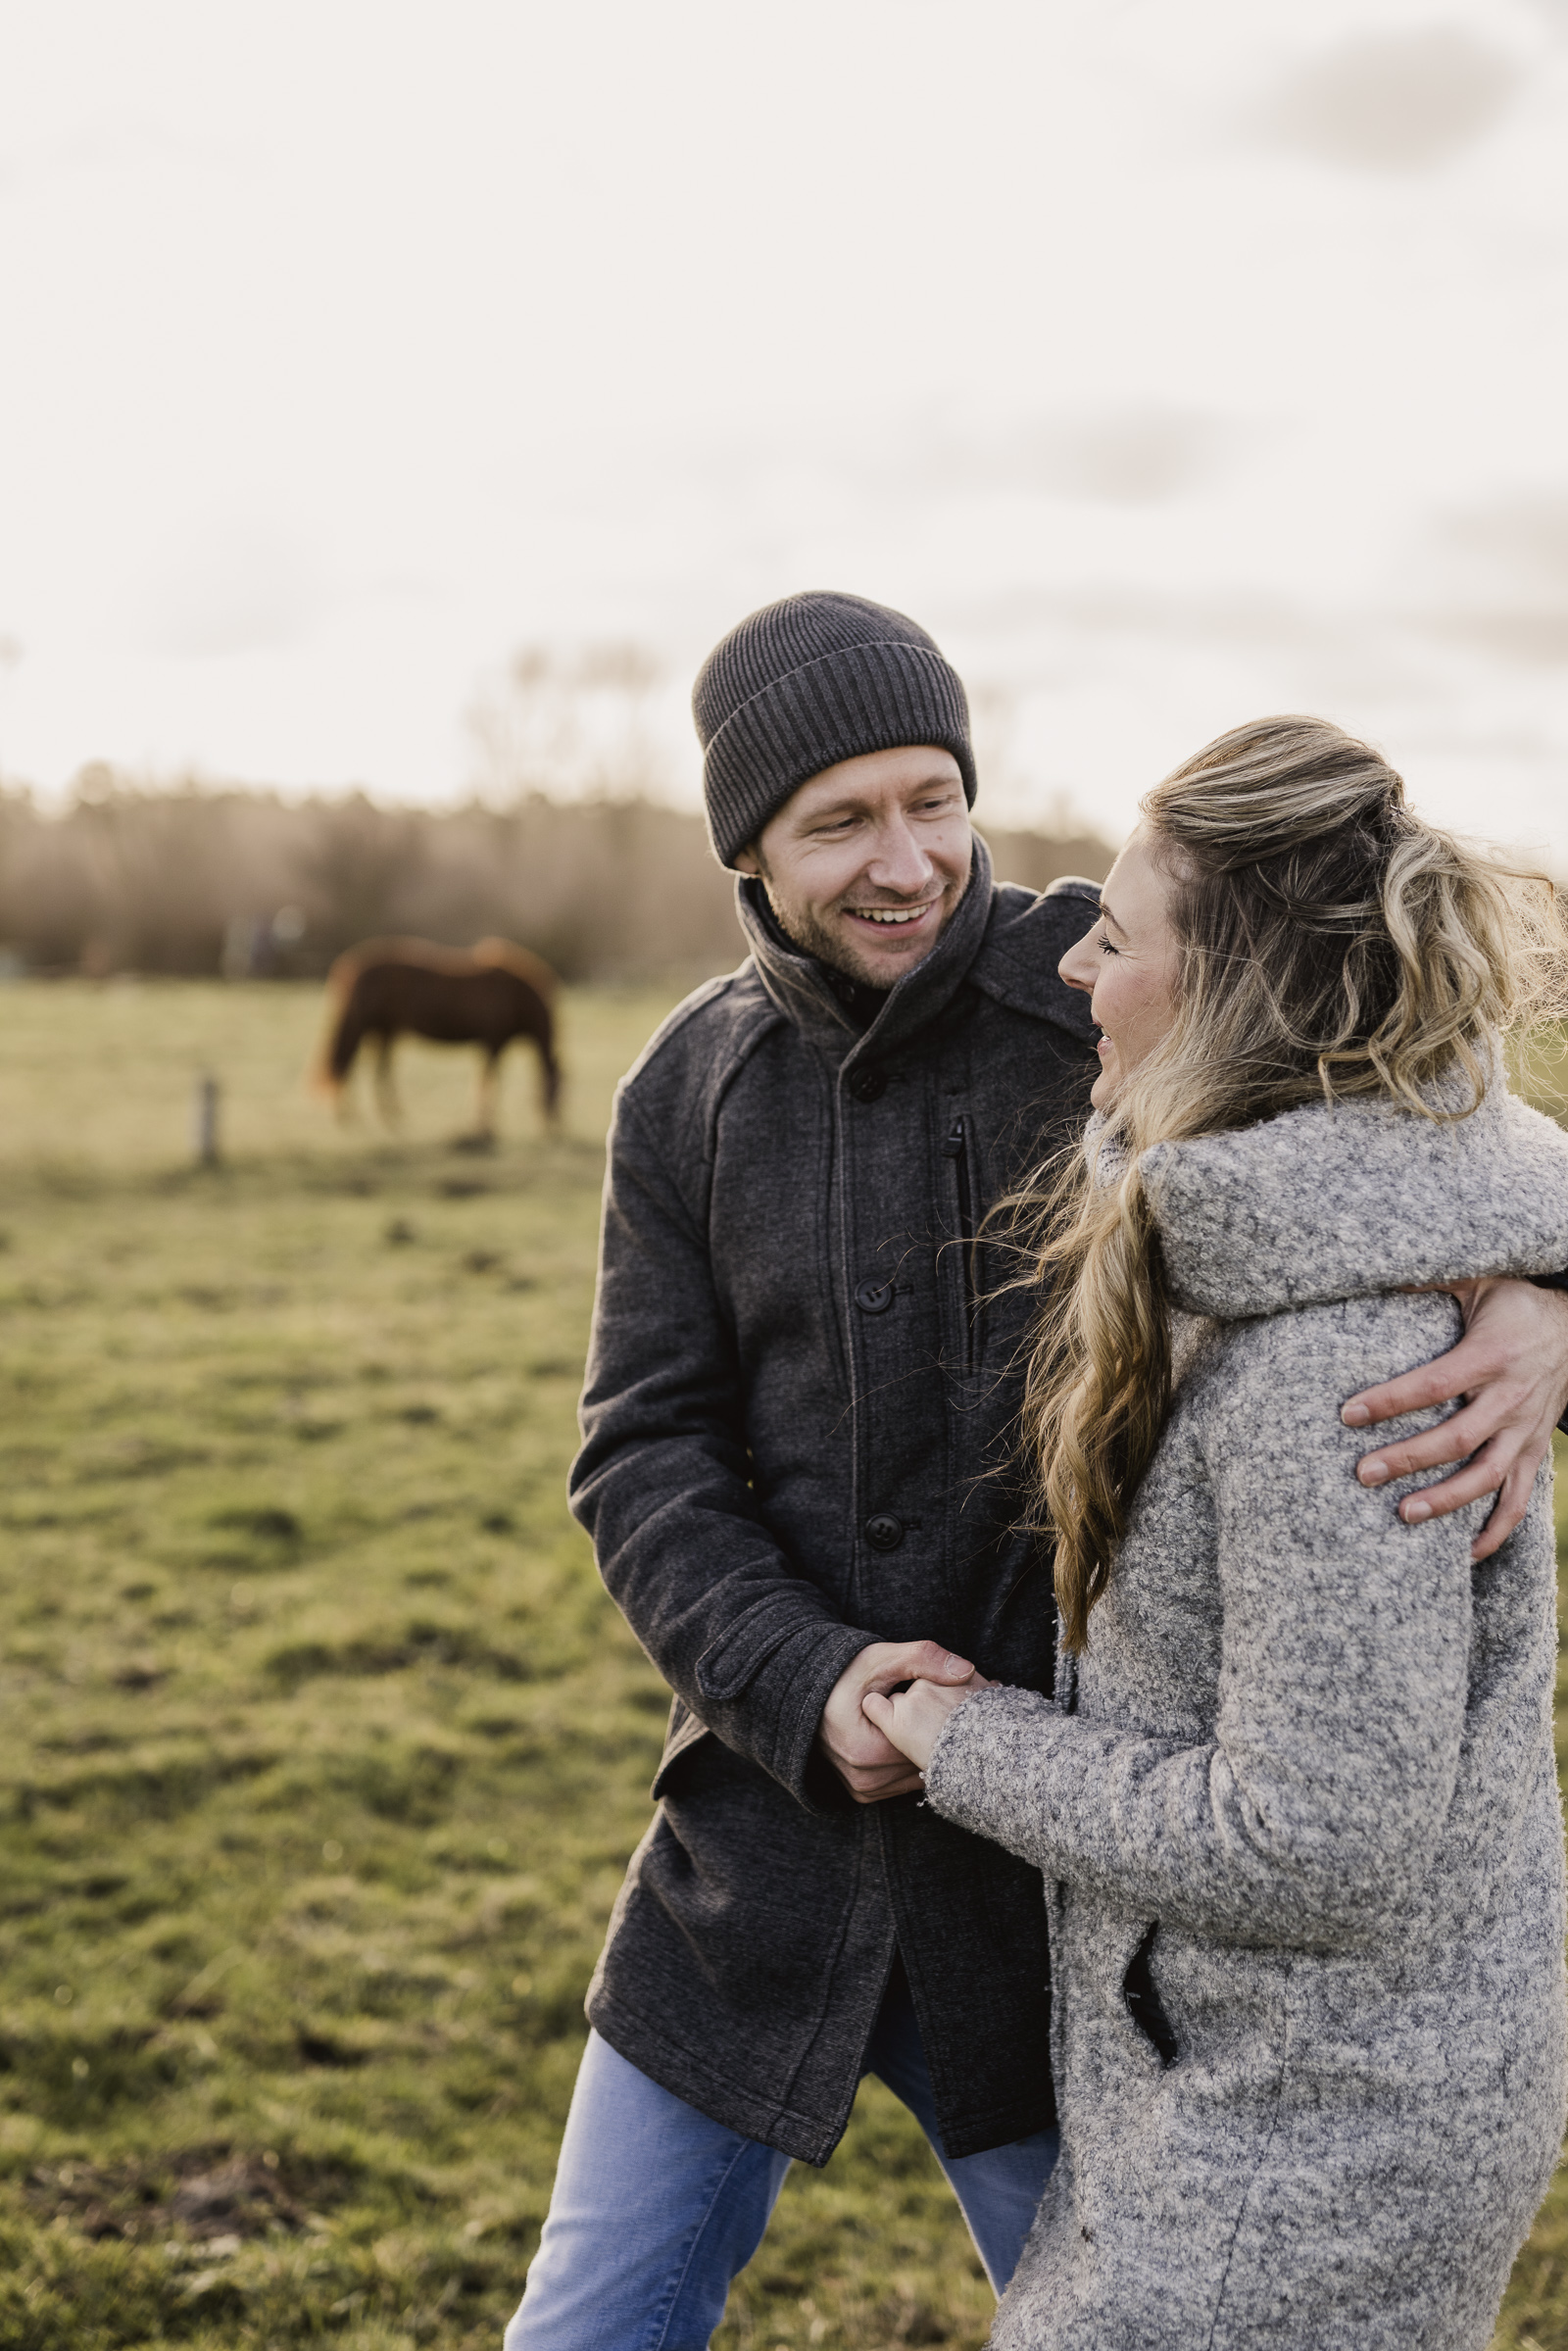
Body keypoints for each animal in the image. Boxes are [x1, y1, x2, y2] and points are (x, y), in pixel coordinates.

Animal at [319, 935, 564, 1138]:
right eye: (559, 1088)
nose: (554, 1126)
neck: (515, 996)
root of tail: (350, 965)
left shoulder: (491, 1044)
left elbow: (487, 1079)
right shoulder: (493, 1042)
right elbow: (490, 1080)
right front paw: (485, 1124)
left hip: (383, 1029)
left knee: (368, 1066)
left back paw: (377, 1115)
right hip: (373, 1027)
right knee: (353, 1064)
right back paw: (362, 1115)